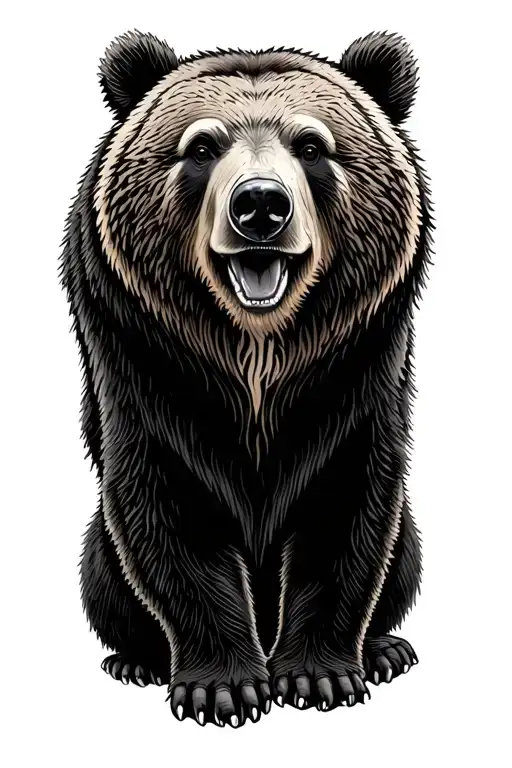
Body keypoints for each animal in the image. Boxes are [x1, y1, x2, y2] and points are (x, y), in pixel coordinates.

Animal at [60, 29, 432, 729]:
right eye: (201, 147)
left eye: (312, 145)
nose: (259, 204)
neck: (257, 353)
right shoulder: (141, 364)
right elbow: (169, 507)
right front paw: (223, 688)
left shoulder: (360, 366)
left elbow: (345, 504)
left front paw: (318, 676)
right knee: (104, 569)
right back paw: (136, 660)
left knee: (404, 555)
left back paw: (386, 649)